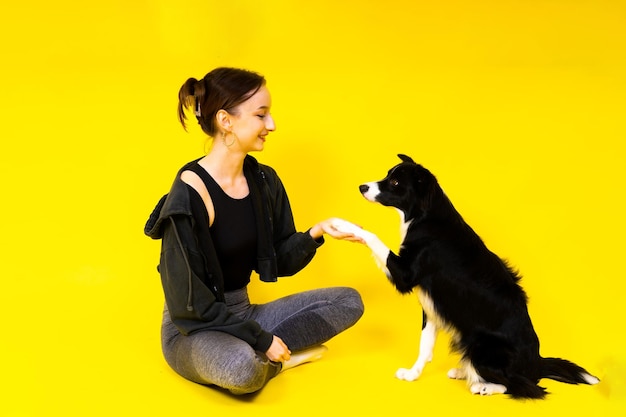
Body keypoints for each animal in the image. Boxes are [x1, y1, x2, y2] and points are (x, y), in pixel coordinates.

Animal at [334, 154, 596, 398]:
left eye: (396, 182)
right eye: (388, 174)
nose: (362, 187)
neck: (424, 217)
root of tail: (537, 363)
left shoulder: (406, 275)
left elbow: (373, 237)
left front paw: (342, 225)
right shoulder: (432, 305)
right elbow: (424, 345)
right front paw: (412, 375)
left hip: (481, 345)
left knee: (523, 386)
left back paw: (483, 386)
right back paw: (465, 371)